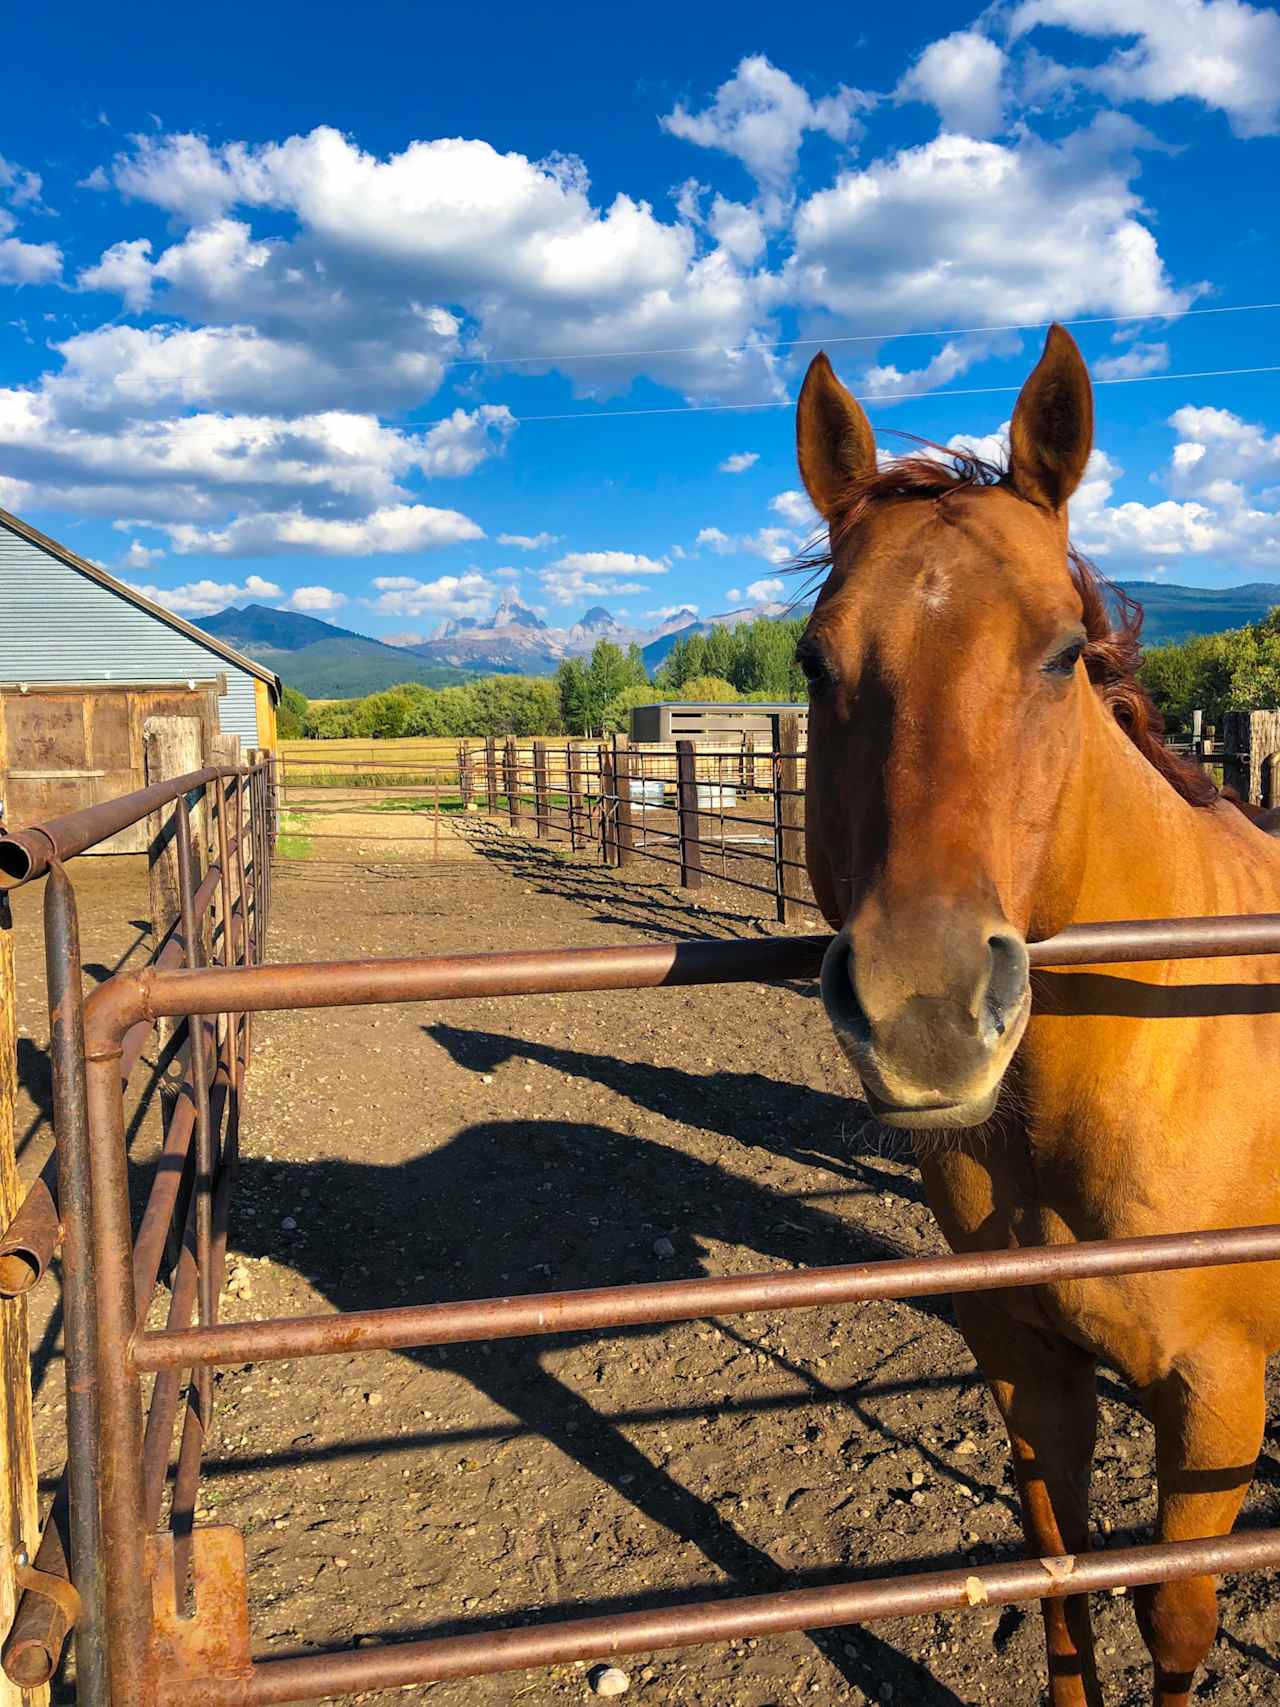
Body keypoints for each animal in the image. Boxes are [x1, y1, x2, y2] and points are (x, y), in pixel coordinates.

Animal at [802, 322, 1280, 1707]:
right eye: (813, 663)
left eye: (1064, 652)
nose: (923, 1008)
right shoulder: (1023, 1362)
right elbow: (1059, 1579)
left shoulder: (1214, 1394)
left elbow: (1174, 1619)